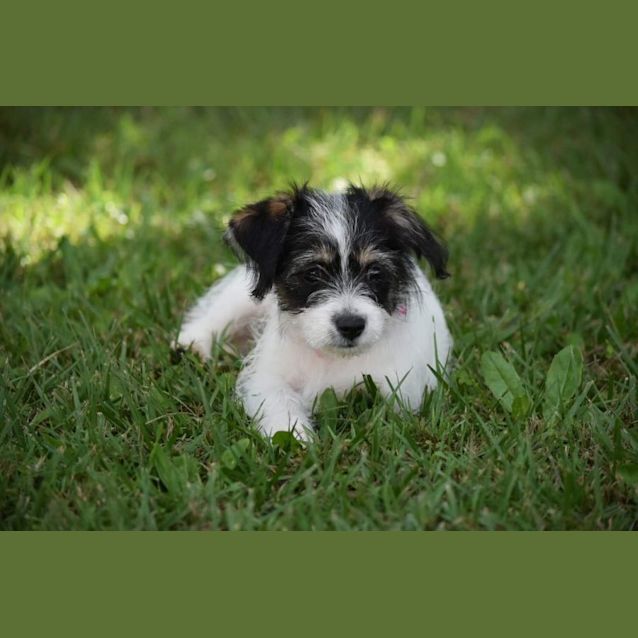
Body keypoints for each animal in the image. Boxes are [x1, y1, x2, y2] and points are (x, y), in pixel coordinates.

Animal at [176, 185, 456, 442]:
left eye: (374, 273)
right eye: (313, 273)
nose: (351, 325)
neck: (330, 358)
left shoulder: (400, 391)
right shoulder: (266, 378)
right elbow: (279, 401)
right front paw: (294, 436)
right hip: (241, 299)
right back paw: (193, 346)